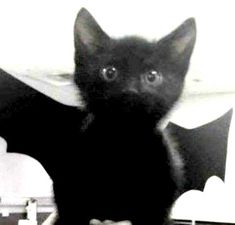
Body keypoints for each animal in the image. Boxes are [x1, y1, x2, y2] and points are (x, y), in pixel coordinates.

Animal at [54, 7, 196, 225]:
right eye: (109, 72)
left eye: (152, 76)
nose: (131, 90)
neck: (124, 141)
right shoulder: (67, 197)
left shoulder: (159, 206)